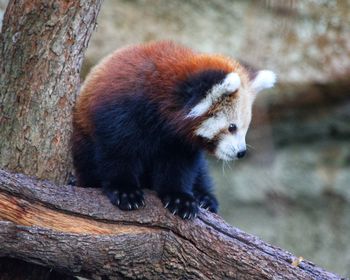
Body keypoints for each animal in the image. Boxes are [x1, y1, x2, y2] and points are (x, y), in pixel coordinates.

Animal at [72, 41, 276, 219]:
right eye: (232, 127)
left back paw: (205, 198)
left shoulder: (179, 142)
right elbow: (117, 152)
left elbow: (179, 167)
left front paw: (180, 198)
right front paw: (124, 189)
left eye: (245, 128)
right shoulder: (120, 112)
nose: (241, 152)